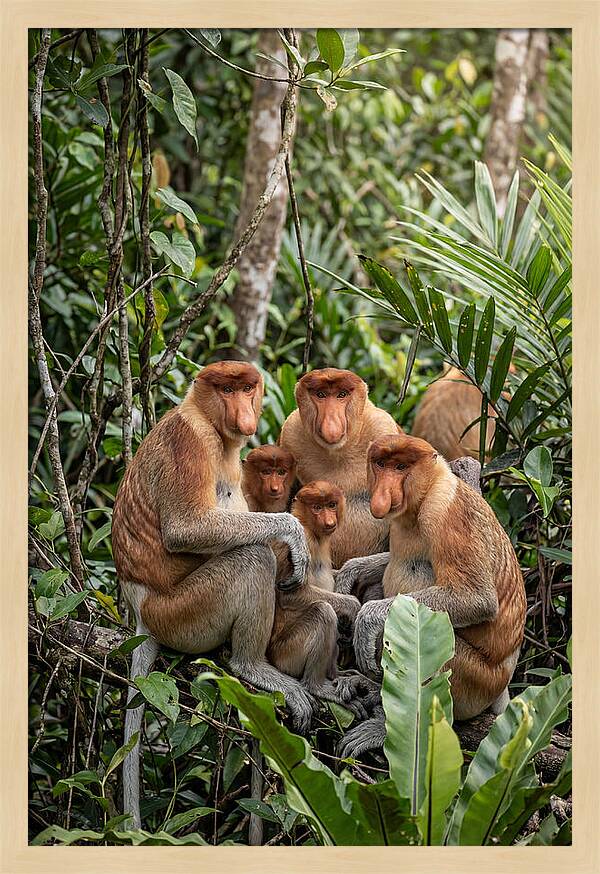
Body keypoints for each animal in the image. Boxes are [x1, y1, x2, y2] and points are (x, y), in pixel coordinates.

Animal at [112, 361, 314, 828]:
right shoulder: (190, 442)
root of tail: (141, 612)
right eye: (226, 389)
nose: (244, 413)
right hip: (184, 613)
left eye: (247, 388)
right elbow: (187, 528)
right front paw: (294, 534)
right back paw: (250, 666)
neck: (206, 418)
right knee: (251, 558)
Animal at [279, 368, 401, 569]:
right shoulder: (290, 434)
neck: (337, 452)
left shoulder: (383, 427)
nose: (331, 424)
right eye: (320, 394)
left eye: (341, 395)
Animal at [337, 434, 526, 759]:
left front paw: (368, 618)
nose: (383, 493)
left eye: (401, 467)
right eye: (381, 464)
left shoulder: (445, 513)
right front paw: (350, 572)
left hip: (475, 682)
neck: (424, 495)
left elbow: (476, 598)